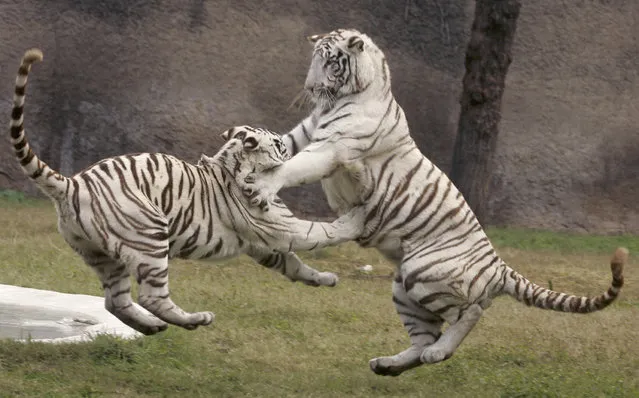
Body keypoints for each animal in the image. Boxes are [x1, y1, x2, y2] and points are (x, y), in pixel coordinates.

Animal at [8, 49, 364, 336]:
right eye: (277, 144)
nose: (287, 150)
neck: (234, 163)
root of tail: (73, 183)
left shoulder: (262, 244)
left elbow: (294, 265)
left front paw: (325, 279)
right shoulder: (280, 227)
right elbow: (319, 232)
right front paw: (355, 221)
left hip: (100, 255)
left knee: (116, 302)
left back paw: (152, 327)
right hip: (149, 237)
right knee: (151, 296)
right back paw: (194, 320)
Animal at [238, 29, 628, 374]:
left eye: (330, 61)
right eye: (314, 58)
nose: (310, 87)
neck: (351, 95)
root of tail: (499, 265)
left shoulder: (331, 147)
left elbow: (292, 167)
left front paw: (262, 184)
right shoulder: (306, 133)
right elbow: (282, 144)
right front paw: (242, 143)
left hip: (423, 271)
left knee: (469, 313)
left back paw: (438, 352)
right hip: (404, 288)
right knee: (424, 338)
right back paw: (388, 365)